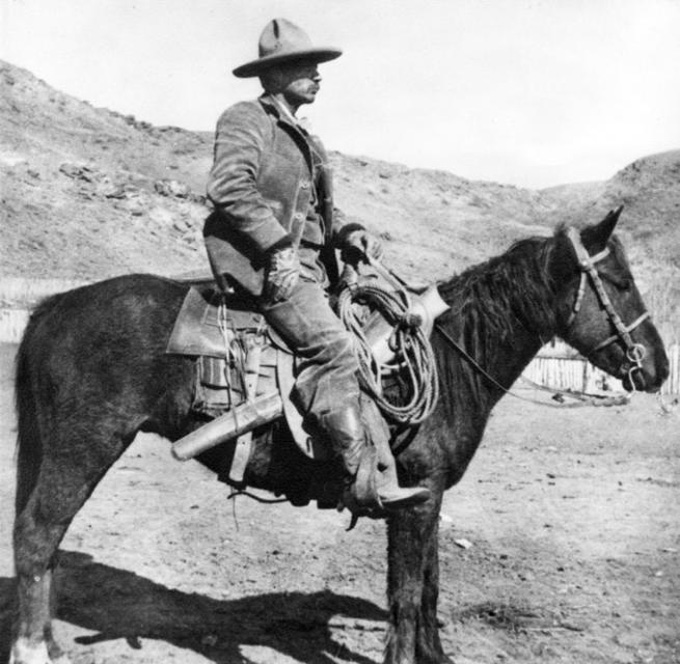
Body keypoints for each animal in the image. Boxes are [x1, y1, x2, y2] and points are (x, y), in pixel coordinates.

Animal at [9, 209, 668, 664]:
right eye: (619, 281)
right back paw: (34, 649)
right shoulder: (414, 499)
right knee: (38, 535)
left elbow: (428, 589)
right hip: (85, 448)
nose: (659, 368)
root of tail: (54, 305)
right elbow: (407, 592)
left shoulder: (428, 498)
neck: (451, 356)